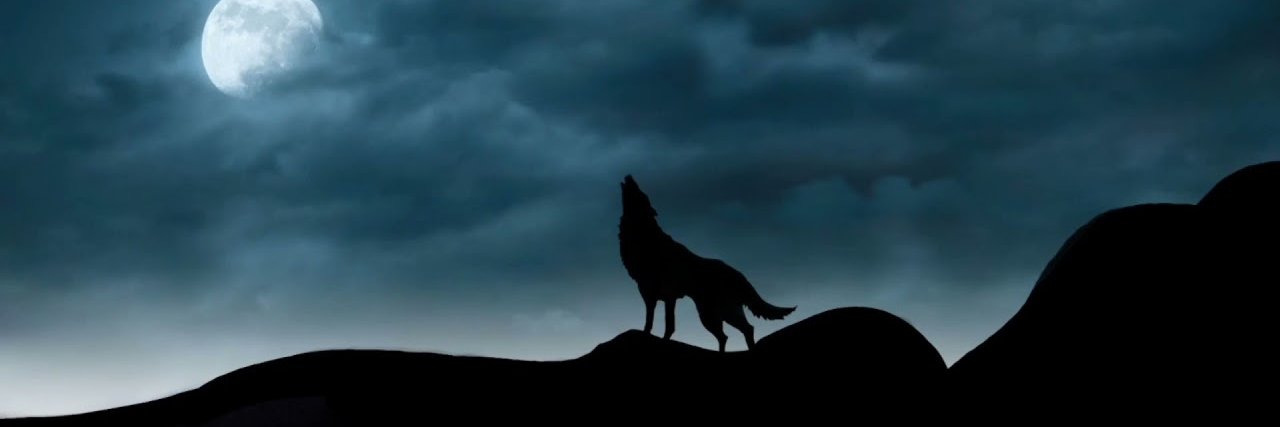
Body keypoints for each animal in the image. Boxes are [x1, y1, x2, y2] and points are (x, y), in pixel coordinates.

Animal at [617, 175, 796, 352]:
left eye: (641, 194)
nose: (629, 176)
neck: (645, 238)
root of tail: (738, 273)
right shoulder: (649, 294)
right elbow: (651, 322)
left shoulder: (667, 296)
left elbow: (668, 325)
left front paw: (661, 341)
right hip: (711, 314)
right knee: (727, 335)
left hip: (718, 312)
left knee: (745, 329)